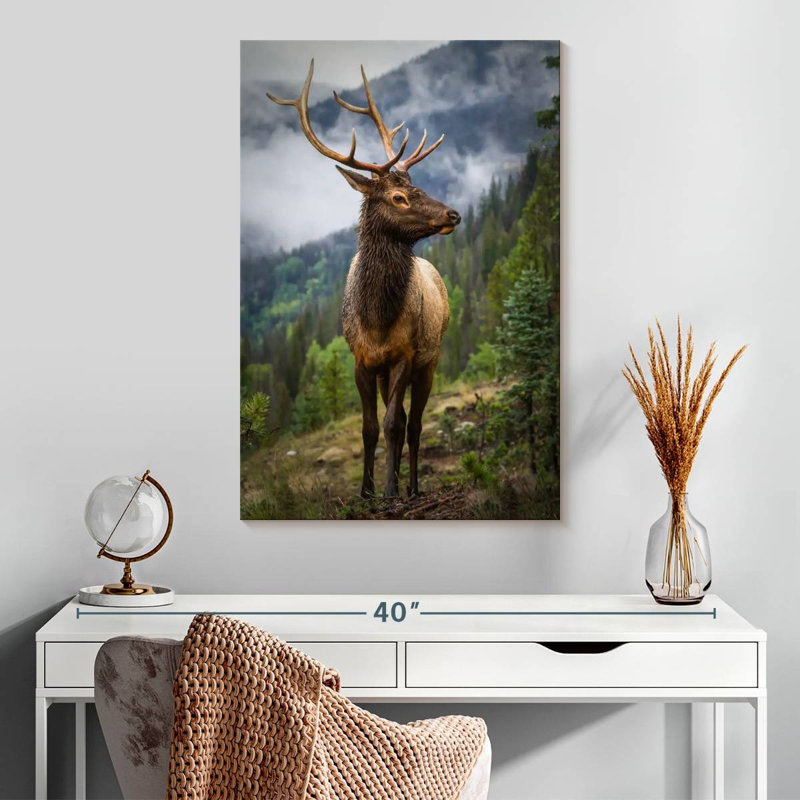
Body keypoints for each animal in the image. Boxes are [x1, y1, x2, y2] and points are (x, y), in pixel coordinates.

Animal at [268, 60, 460, 499]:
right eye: (399, 197)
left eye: (416, 187)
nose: (453, 214)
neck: (377, 318)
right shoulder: (362, 359)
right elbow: (370, 427)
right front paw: (366, 491)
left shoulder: (405, 354)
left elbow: (392, 425)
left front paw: (389, 490)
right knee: (403, 417)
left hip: (431, 358)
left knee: (414, 424)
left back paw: (412, 487)